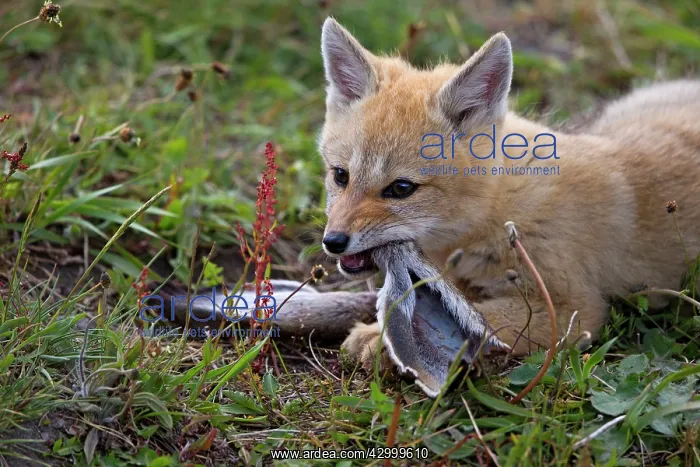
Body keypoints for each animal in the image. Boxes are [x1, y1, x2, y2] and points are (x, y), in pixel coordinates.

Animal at [316, 17, 700, 368]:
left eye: (401, 188)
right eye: (340, 176)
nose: (333, 242)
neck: (500, 210)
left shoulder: (572, 310)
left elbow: (479, 321)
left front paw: (379, 338)